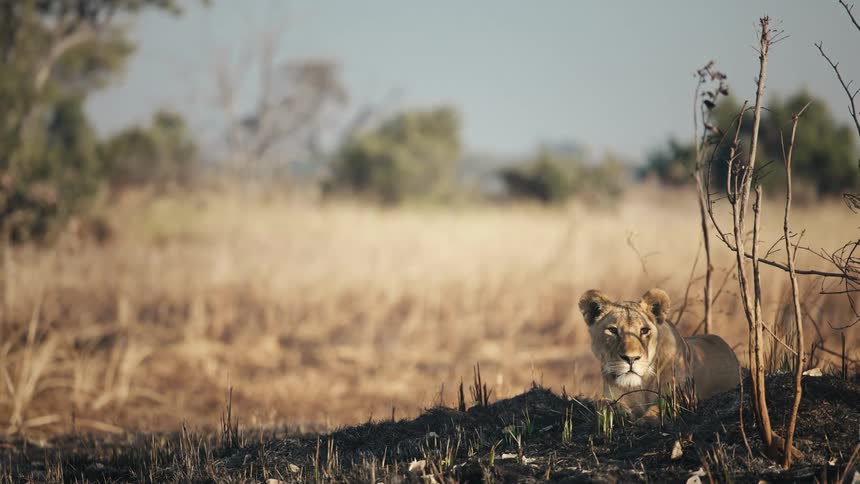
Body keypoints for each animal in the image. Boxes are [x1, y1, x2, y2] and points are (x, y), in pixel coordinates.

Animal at [579, 288, 739, 419]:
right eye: (612, 330)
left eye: (644, 330)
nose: (631, 358)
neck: (638, 386)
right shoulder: (611, 396)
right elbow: (604, 405)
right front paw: (620, 413)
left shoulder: (681, 394)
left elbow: (660, 407)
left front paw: (645, 421)